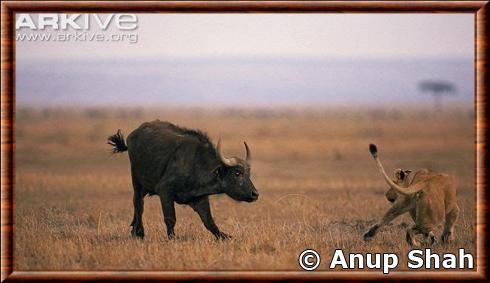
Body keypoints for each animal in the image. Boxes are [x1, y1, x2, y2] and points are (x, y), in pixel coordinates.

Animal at [108, 121, 260, 241]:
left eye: (249, 173)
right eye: (237, 173)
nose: (255, 194)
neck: (196, 164)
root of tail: (133, 135)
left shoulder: (200, 199)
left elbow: (209, 222)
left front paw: (225, 236)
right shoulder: (164, 191)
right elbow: (170, 218)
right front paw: (172, 238)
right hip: (137, 181)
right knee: (138, 203)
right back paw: (139, 232)